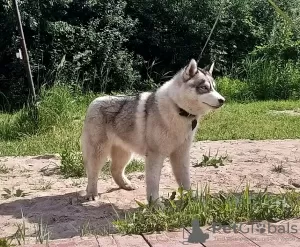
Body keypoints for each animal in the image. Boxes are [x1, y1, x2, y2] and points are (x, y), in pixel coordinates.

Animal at [80, 58, 225, 204]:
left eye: (214, 87)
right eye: (204, 88)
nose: (222, 100)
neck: (178, 109)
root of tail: (95, 101)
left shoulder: (181, 154)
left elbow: (185, 180)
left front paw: (192, 198)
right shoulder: (155, 155)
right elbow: (153, 183)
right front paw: (155, 204)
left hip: (124, 153)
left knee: (114, 169)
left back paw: (126, 185)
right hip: (99, 153)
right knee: (92, 173)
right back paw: (91, 193)